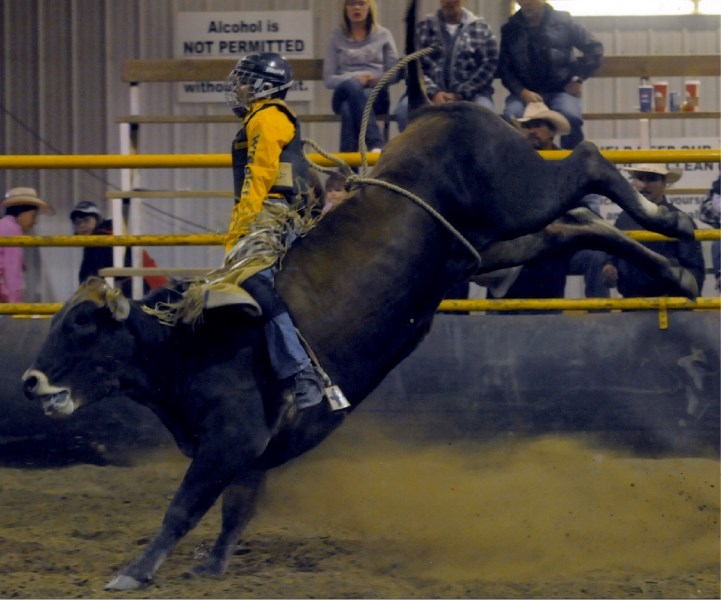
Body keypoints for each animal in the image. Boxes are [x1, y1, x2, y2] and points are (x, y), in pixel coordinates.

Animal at [23, 0, 696, 592]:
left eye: (80, 327)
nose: (30, 381)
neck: (183, 343)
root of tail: (434, 108)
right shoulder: (256, 449)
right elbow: (237, 508)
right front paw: (211, 565)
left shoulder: (231, 437)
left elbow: (184, 506)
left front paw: (134, 571)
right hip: (489, 246)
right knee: (580, 226)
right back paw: (680, 267)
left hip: (518, 195)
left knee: (587, 161)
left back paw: (673, 224)